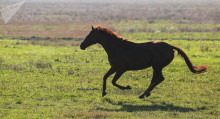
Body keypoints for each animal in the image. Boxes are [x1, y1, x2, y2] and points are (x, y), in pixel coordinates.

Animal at [79, 25, 208, 98]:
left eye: (90, 35)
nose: (81, 45)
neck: (117, 47)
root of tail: (170, 46)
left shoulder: (121, 69)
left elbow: (113, 81)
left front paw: (127, 87)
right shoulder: (114, 67)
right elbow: (105, 77)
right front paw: (103, 93)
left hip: (157, 66)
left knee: (159, 79)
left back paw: (142, 95)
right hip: (156, 67)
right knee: (155, 79)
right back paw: (146, 93)